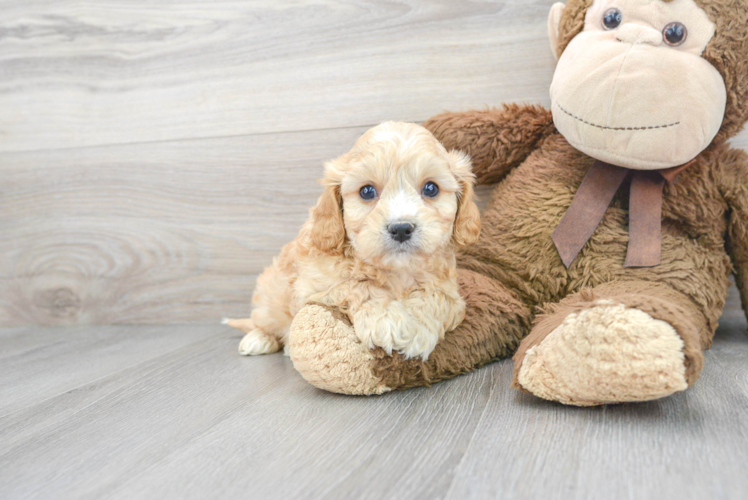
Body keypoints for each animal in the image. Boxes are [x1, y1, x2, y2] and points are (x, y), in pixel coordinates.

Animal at [225, 123, 480, 362]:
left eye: (431, 188)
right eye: (366, 191)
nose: (401, 229)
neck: (395, 271)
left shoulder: (450, 292)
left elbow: (435, 296)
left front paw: (417, 327)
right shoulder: (314, 284)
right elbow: (356, 284)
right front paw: (385, 320)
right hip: (269, 295)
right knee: (262, 320)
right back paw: (260, 339)